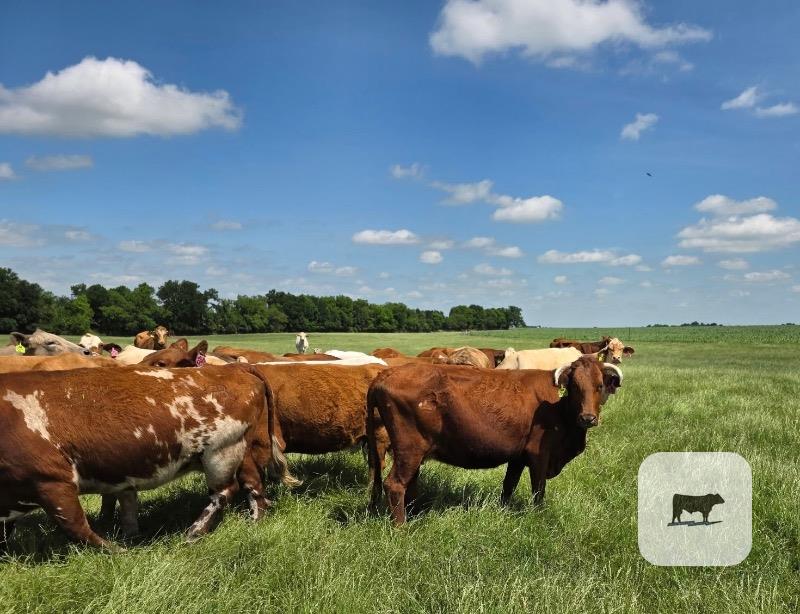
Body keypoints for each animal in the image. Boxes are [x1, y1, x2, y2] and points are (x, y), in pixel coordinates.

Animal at [0, 364, 297, 549]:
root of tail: (230, 367)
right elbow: (126, 508)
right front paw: (129, 537)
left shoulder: (51, 480)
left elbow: (75, 526)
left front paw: (116, 550)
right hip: (237, 449)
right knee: (253, 484)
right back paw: (255, 520)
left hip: (220, 452)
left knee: (224, 492)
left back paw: (194, 532)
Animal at [366, 357, 623, 524]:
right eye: (575, 387)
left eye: (599, 385)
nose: (587, 418)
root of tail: (384, 375)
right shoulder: (539, 454)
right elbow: (538, 490)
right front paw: (538, 517)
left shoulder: (518, 456)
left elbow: (508, 486)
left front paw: (503, 511)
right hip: (409, 450)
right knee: (395, 484)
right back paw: (402, 527)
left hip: (414, 453)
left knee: (409, 485)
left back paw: (414, 516)